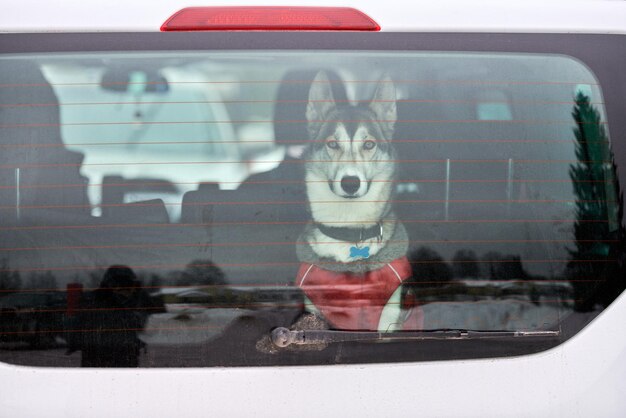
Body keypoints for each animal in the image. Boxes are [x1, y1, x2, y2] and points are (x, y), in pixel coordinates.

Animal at [292, 72, 420, 334]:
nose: (350, 183)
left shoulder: (389, 311)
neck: (349, 230)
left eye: (369, 144)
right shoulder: (315, 307)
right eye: (332, 143)